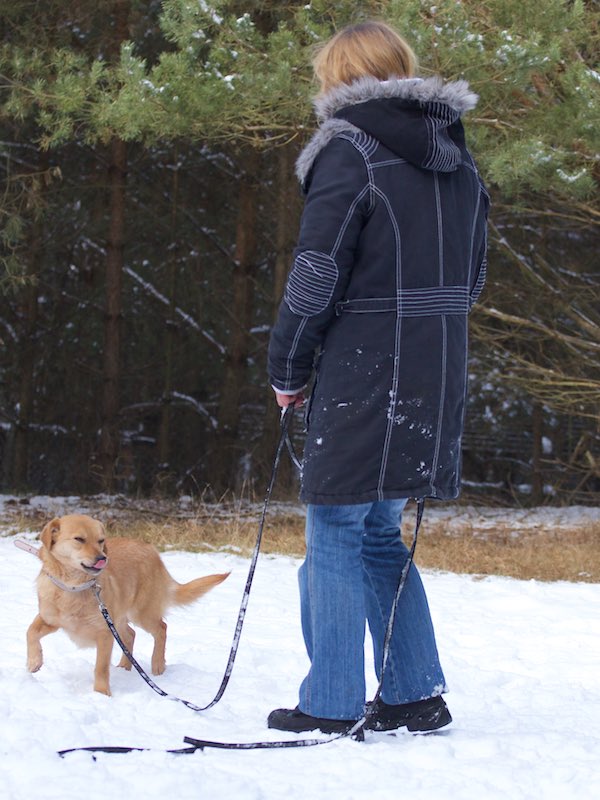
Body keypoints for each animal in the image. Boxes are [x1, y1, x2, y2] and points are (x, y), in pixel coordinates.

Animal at [26, 514, 229, 695]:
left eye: (101, 540)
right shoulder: (49, 619)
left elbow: (100, 667)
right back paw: (125, 666)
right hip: (119, 617)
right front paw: (34, 661)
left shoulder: (105, 633)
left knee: (161, 628)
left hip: (141, 613)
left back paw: (157, 665)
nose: (102, 558)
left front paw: (101, 693)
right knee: (131, 635)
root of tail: (153, 552)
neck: (73, 587)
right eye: (79, 539)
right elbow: (31, 632)